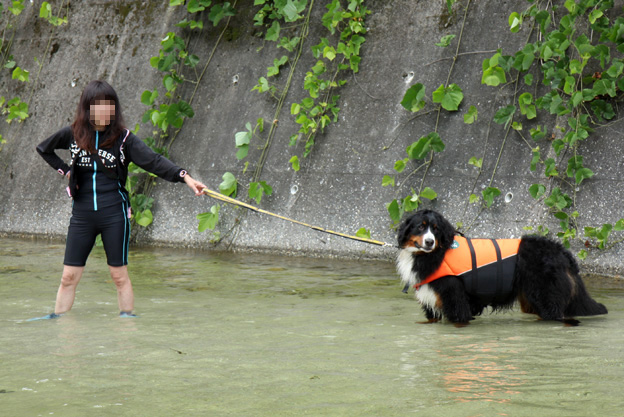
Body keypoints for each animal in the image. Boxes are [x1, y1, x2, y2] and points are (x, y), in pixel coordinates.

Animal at [398, 208, 608, 324]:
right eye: (420, 227)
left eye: (435, 229)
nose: (429, 242)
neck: (435, 254)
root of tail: (561, 251)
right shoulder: (431, 305)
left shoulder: (456, 304)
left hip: (547, 299)